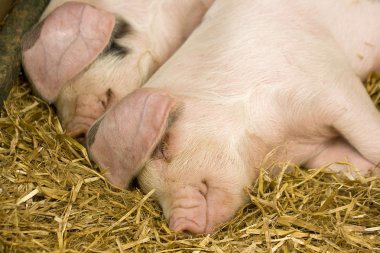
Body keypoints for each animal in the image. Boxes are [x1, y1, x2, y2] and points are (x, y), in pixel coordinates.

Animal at [86, 0, 380, 234]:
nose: (180, 225)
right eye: (145, 186)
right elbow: (343, 160)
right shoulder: (315, 149)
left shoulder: (331, 89)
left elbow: (369, 137)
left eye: (163, 147)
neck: (280, 144)